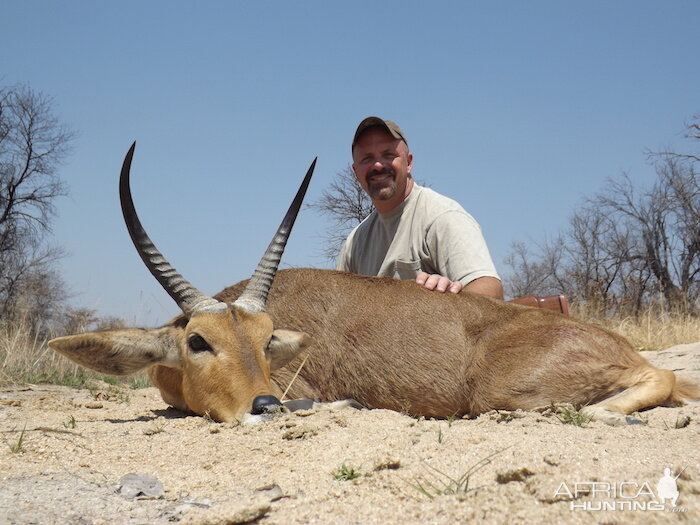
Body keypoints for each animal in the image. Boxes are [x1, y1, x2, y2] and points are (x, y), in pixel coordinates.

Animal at [46, 145, 696, 424]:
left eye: (265, 339)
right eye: (198, 341)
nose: (265, 405)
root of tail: (617, 344)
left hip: (503, 394)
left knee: (660, 378)